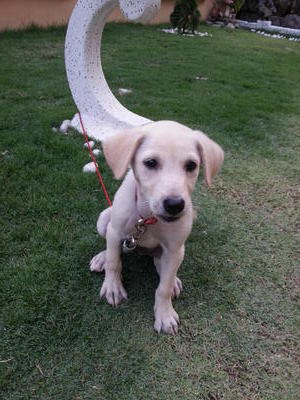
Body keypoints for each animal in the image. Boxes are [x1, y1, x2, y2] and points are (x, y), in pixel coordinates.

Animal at [90, 120, 224, 336]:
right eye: (151, 163)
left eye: (191, 165)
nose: (175, 205)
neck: (148, 218)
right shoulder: (116, 230)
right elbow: (114, 262)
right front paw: (112, 287)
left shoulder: (175, 248)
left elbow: (164, 288)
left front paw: (165, 314)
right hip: (104, 220)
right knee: (112, 248)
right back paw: (101, 257)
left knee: (161, 264)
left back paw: (173, 278)